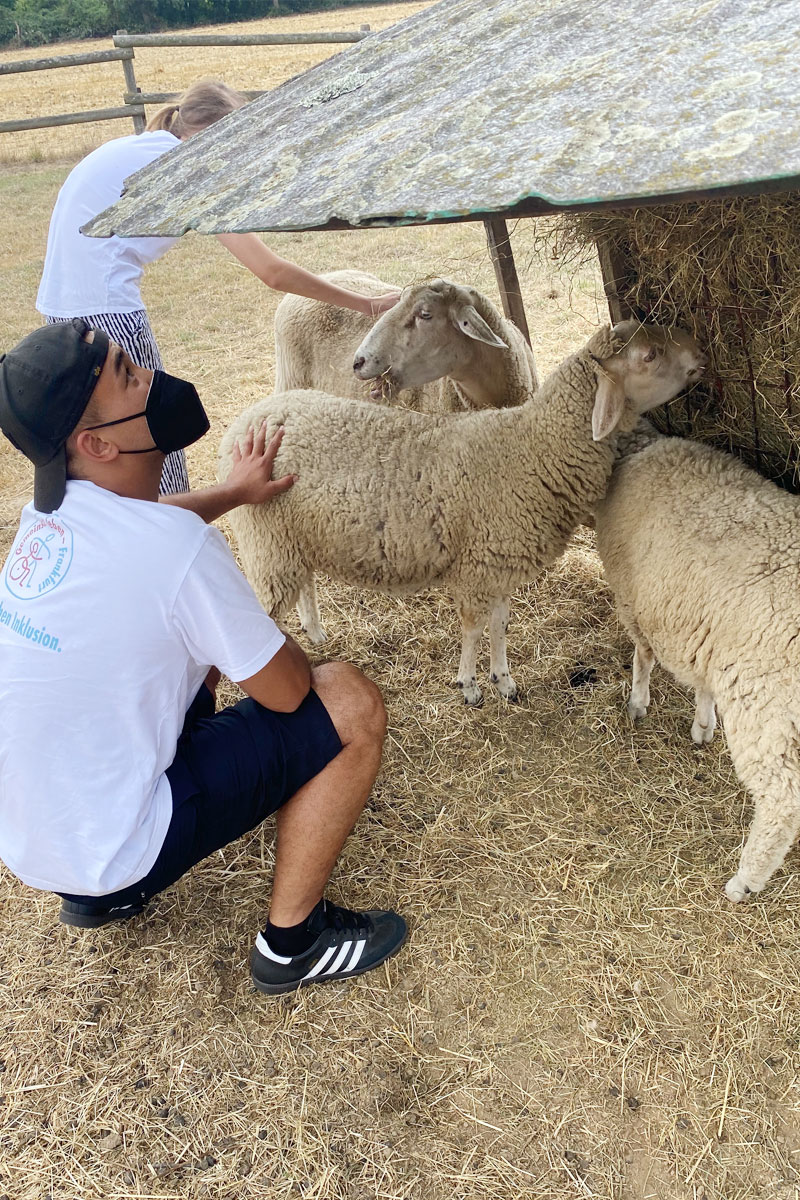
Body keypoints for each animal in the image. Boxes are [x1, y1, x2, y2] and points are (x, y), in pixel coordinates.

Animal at [221, 324, 705, 705]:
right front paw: (470, 686)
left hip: (291, 540)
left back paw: (315, 630)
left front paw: (503, 680)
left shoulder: (499, 564)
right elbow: (473, 629)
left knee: (302, 582)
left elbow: (500, 624)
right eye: (649, 355)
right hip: (267, 543)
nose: (700, 353)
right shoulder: (475, 569)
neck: (533, 449)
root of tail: (247, 419)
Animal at [594, 439, 800, 902]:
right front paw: (703, 725)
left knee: (782, 799)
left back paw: (745, 881)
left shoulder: (638, 605)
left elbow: (643, 656)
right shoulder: (699, 626)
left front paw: (637, 703)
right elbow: (702, 679)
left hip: (767, 703)